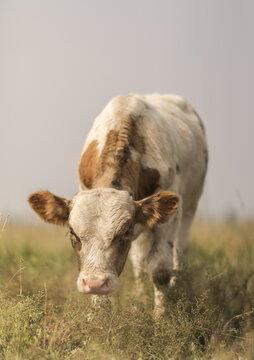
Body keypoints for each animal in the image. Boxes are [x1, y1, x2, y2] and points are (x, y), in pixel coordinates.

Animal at [28, 94, 208, 314]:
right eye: (72, 233)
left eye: (125, 232)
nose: (95, 282)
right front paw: (98, 315)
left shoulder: (170, 212)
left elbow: (160, 269)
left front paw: (162, 316)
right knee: (139, 260)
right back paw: (140, 296)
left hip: (190, 206)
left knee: (179, 253)